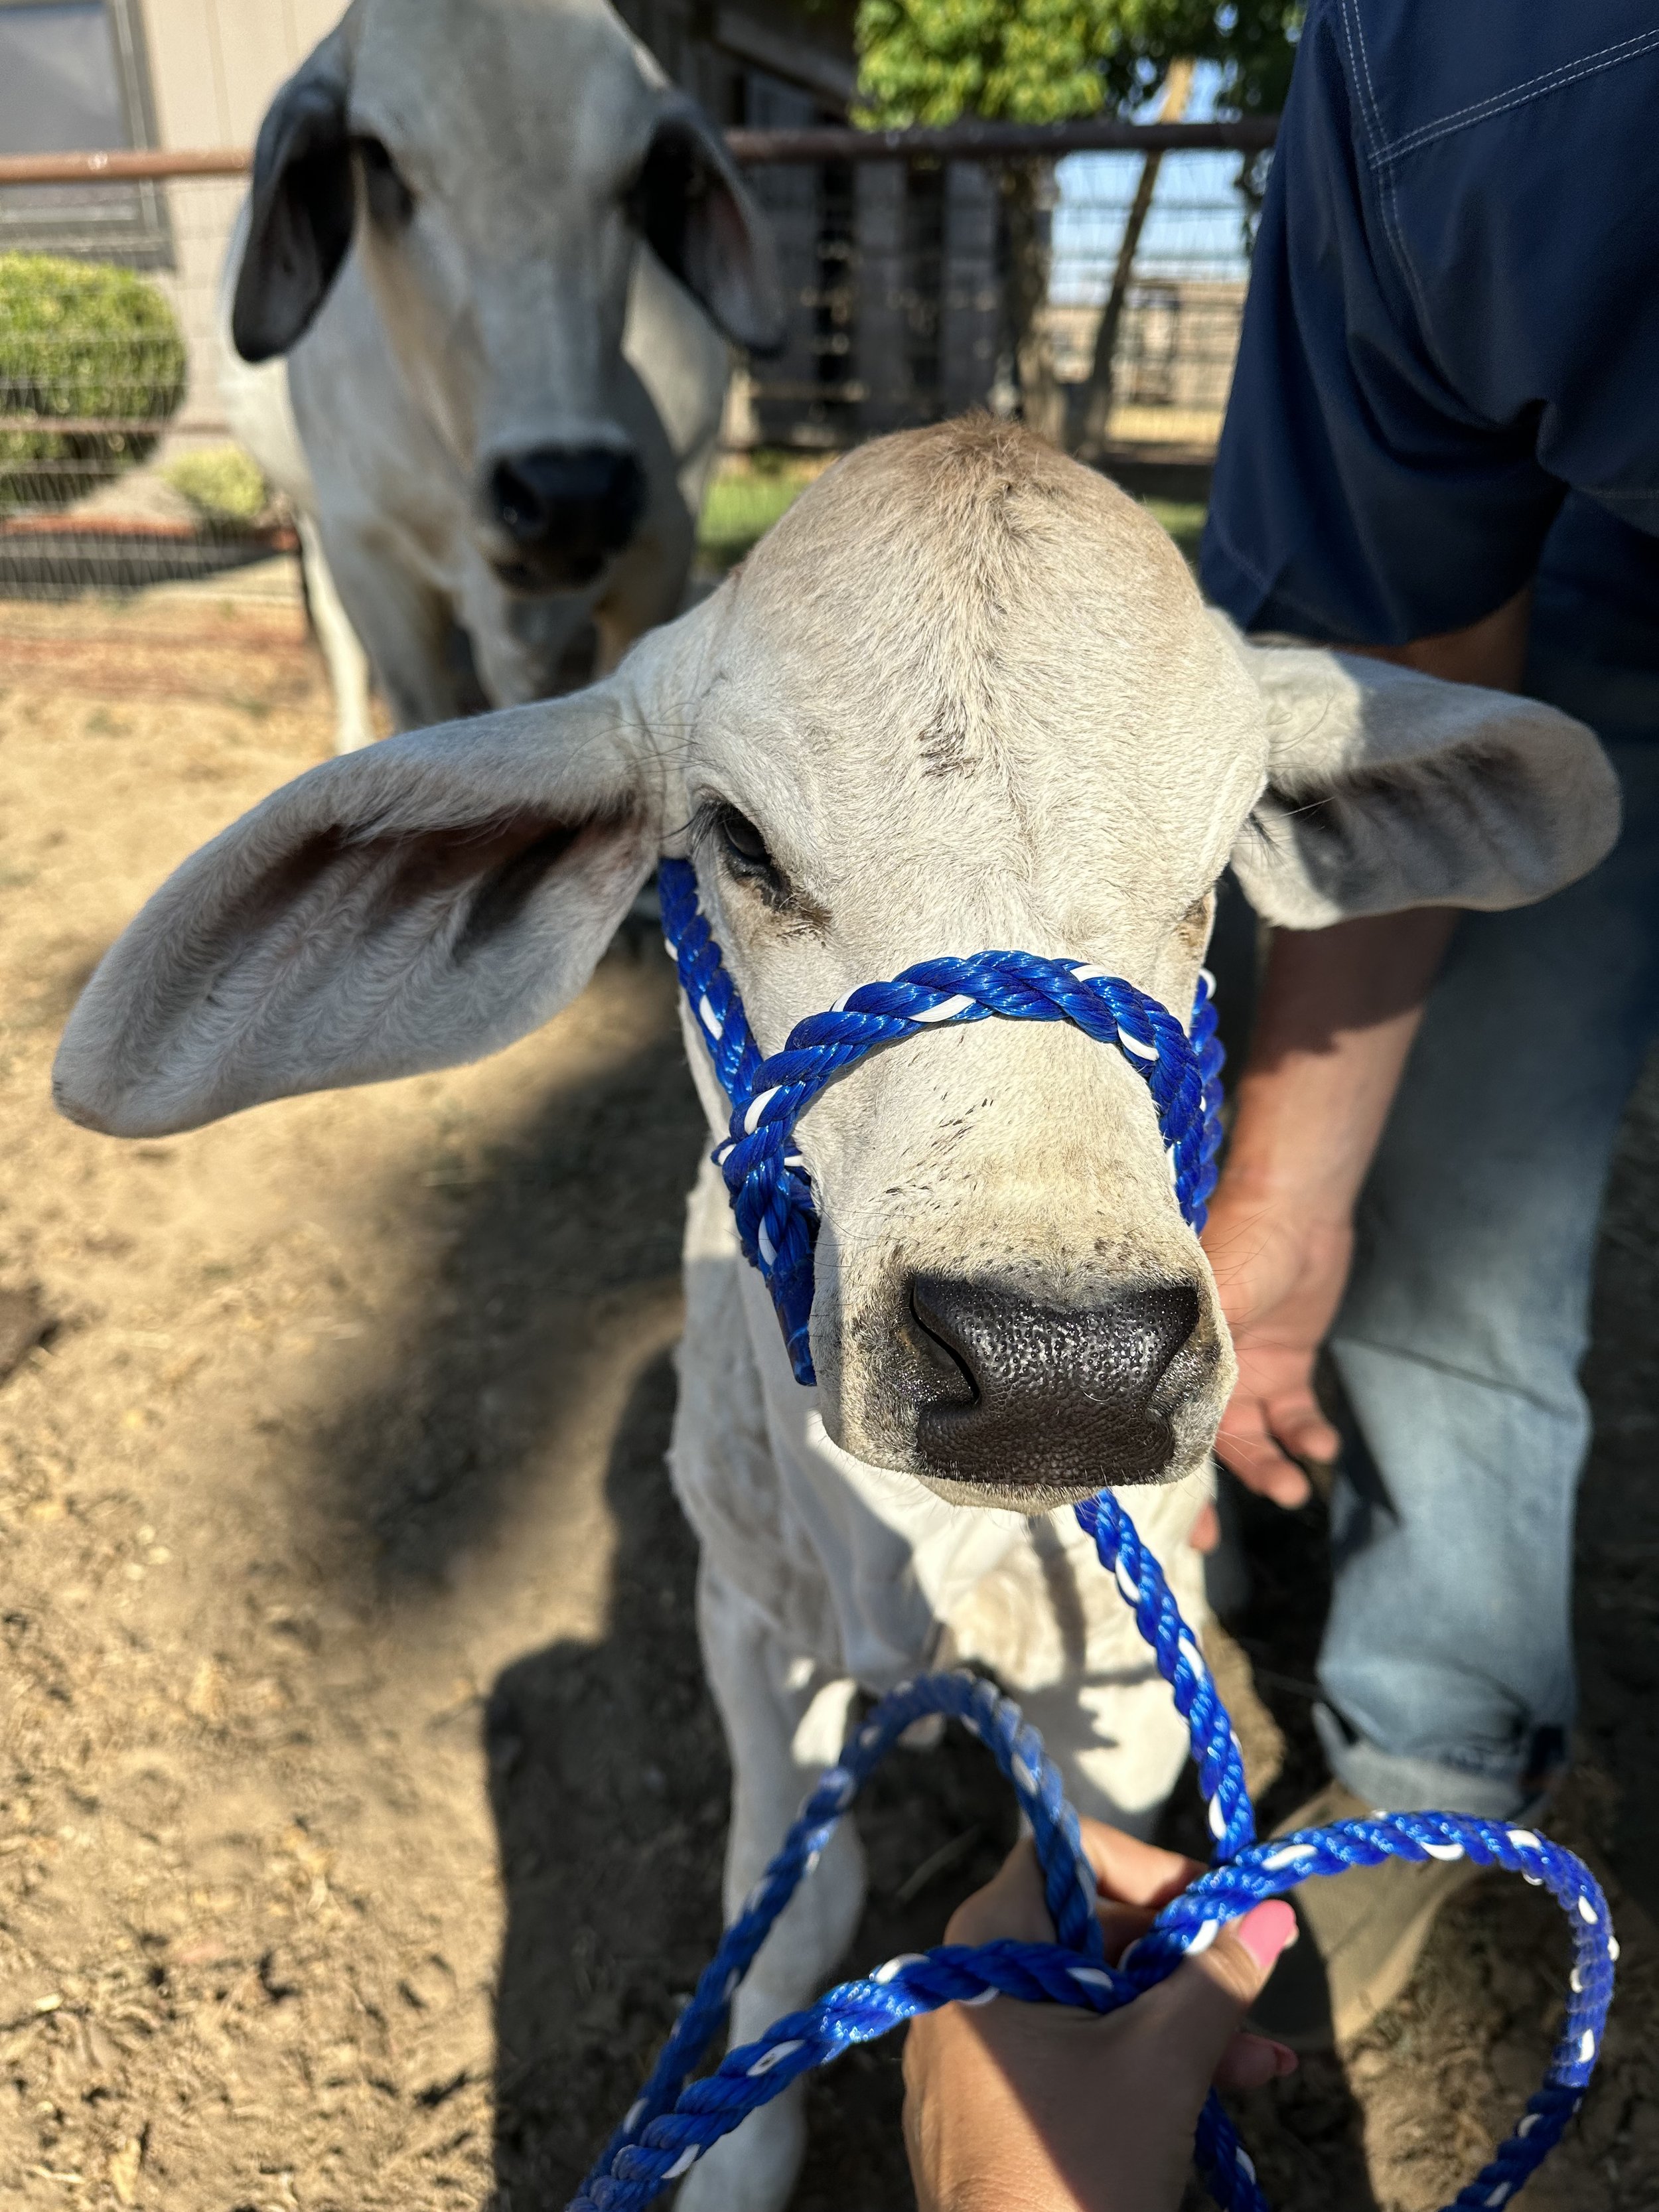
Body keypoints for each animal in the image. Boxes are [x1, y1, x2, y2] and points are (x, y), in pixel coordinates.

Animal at [54, 421, 1619, 2210]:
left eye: (1218, 855)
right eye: (740, 843)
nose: (1056, 1365)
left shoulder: (1123, 1698)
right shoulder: (745, 1615)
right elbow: (790, 1916)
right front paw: (736, 2163)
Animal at [219, 0, 783, 749]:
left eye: (642, 172)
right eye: (376, 155)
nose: (572, 493)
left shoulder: (662, 547)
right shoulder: (371, 558)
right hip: (318, 527)